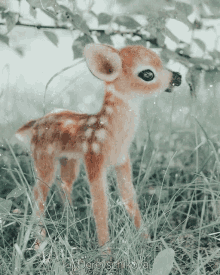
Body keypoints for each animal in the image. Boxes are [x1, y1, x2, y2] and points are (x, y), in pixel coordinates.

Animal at [15, 43, 180, 254]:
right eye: (147, 74)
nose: (177, 77)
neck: (111, 135)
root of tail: (35, 123)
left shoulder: (122, 160)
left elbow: (129, 198)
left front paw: (147, 240)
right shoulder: (94, 157)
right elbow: (100, 204)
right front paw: (106, 253)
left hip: (69, 159)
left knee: (64, 184)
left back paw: (70, 222)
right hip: (42, 156)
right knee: (38, 193)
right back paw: (39, 242)